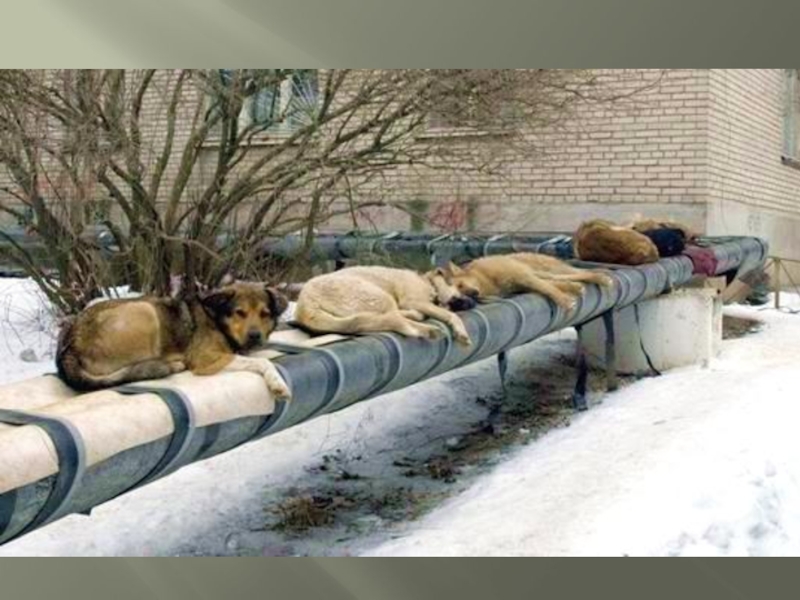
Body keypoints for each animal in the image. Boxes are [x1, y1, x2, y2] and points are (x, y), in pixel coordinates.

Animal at [56, 283, 292, 399]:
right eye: (239, 313)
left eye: (265, 313)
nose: (255, 336)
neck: (216, 318)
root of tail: (69, 345)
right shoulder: (206, 359)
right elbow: (263, 361)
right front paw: (277, 384)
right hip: (145, 311)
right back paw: (170, 365)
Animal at [293, 266, 473, 346]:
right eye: (460, 286)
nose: (475, 299)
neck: (427, 282)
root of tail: (306, 303)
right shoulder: (415, 301)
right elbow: (452, 315)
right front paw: (461, 331)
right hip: (380, 296)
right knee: (394, 319)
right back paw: (425, 330)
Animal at [440, 252, 614, 311]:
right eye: (456, 295)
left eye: (461, 285)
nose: (473, 294)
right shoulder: (523, 283)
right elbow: (548, 287)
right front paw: (569, 293)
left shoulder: (524, 277)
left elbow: (548, 288)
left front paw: (564, 301)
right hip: (541, 272)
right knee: (564, 278)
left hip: (545, 270)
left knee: (577, 273)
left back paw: (601, 276)